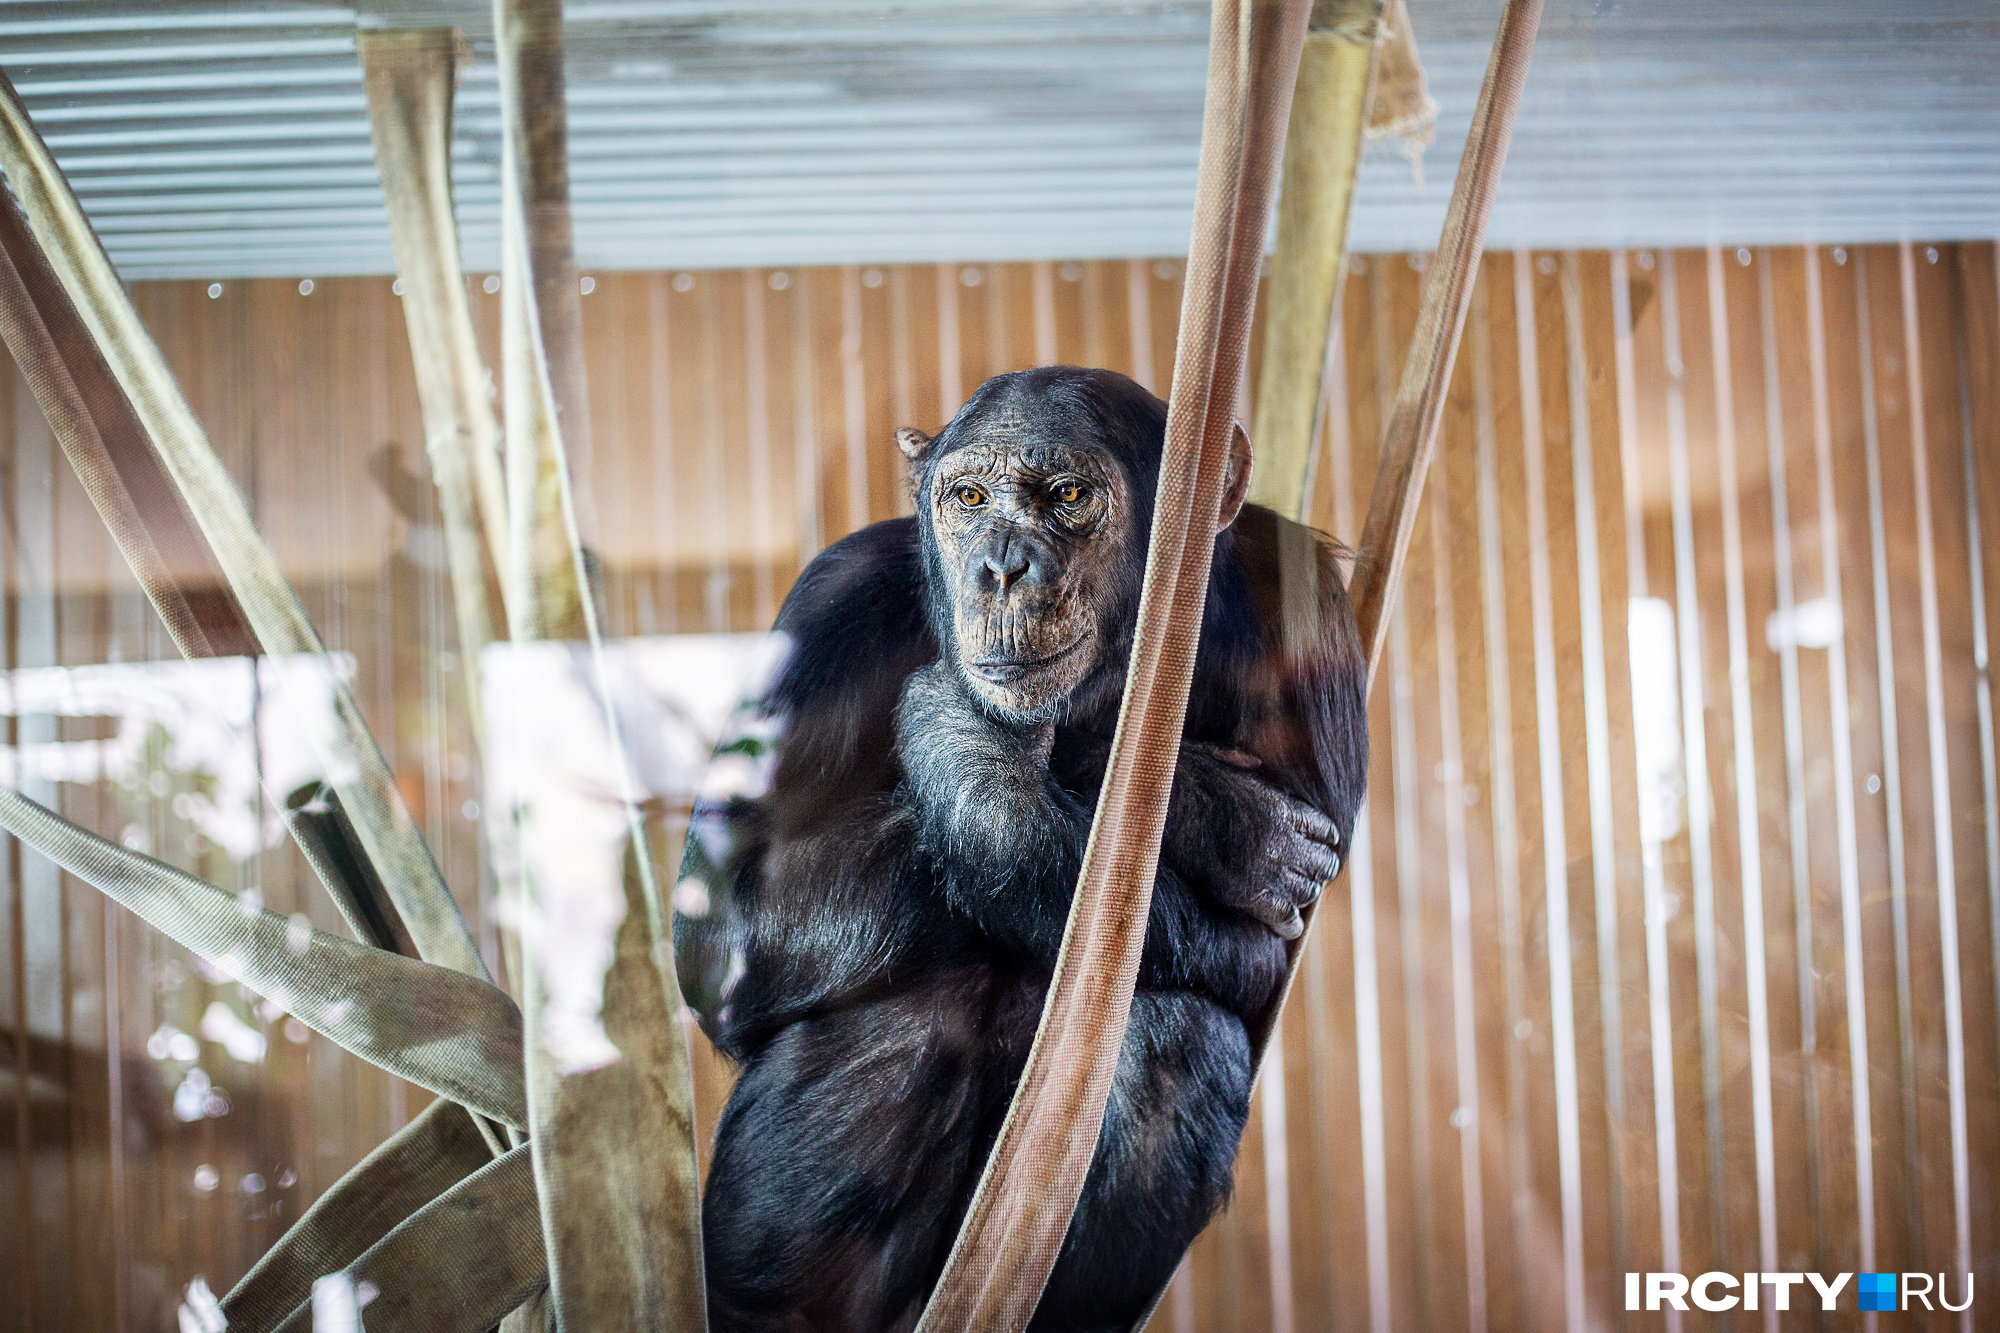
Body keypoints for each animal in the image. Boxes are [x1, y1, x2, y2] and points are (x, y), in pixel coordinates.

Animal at [680, 366, 1368, 1328]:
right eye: (969, 497)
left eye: (1069, 496)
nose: (1001, 566)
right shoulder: (828, 608)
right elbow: (726, 922)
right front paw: (1214, 812)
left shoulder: (1305, 613)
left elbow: (1271, 957)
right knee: (895, 1026)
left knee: (1177, 1041)